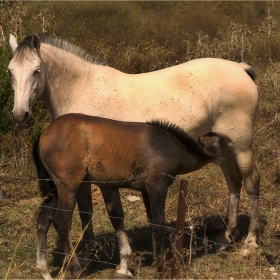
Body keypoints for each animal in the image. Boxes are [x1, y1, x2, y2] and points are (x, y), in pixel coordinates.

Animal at [7, 34, 260, 278]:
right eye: (10, 71)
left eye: (36, 70)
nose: (20, 114)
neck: (82, 89)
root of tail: (241, 68)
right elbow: (86, 212)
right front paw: (89, 256)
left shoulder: (103, 180)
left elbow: (114, 215)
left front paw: (121, 264)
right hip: (224, 145)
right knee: (233, 182)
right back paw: (225, 237)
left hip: (241, 145)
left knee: (251, 183)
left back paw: (249, 243)